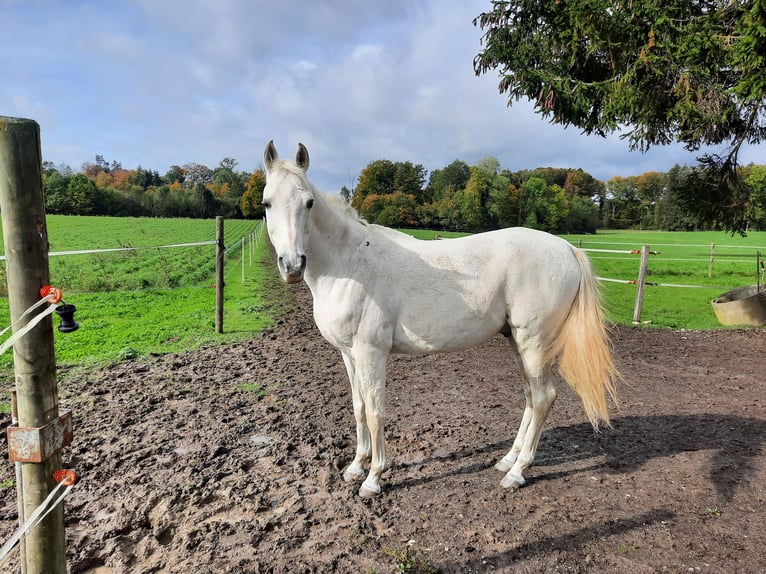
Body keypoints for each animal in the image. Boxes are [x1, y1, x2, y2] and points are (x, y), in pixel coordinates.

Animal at [260, 142, 620, 498]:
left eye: (308, 202)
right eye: (266, 203)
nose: (292, 265)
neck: (349, 263)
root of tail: (567, 249)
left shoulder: (370, 352)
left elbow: (375, 412)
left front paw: (374, 477)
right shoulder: (349, 354)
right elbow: (359, 408)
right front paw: (355, 467)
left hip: (534, 344)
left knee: (544, 399)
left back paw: (517, 472)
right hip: (518, 342)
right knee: (531, 397)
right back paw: (507, 460)